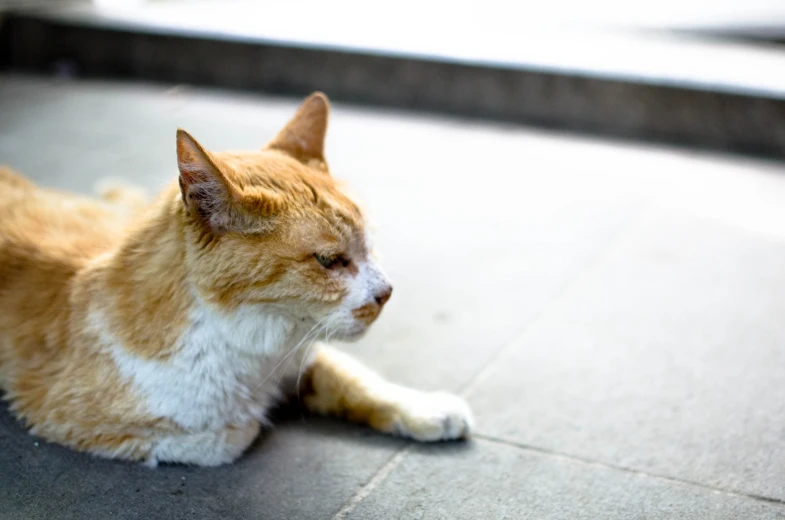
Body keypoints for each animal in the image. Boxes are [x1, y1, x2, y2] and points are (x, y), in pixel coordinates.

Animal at [0, 91, 472, 466]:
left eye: (369, 245)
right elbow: (227, 436)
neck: (255, 346)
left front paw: (425, 410)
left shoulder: (300, 352)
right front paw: (255, 416)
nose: (386, 293)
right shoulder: (60, 412)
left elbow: (354, 378)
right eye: (329, 260)